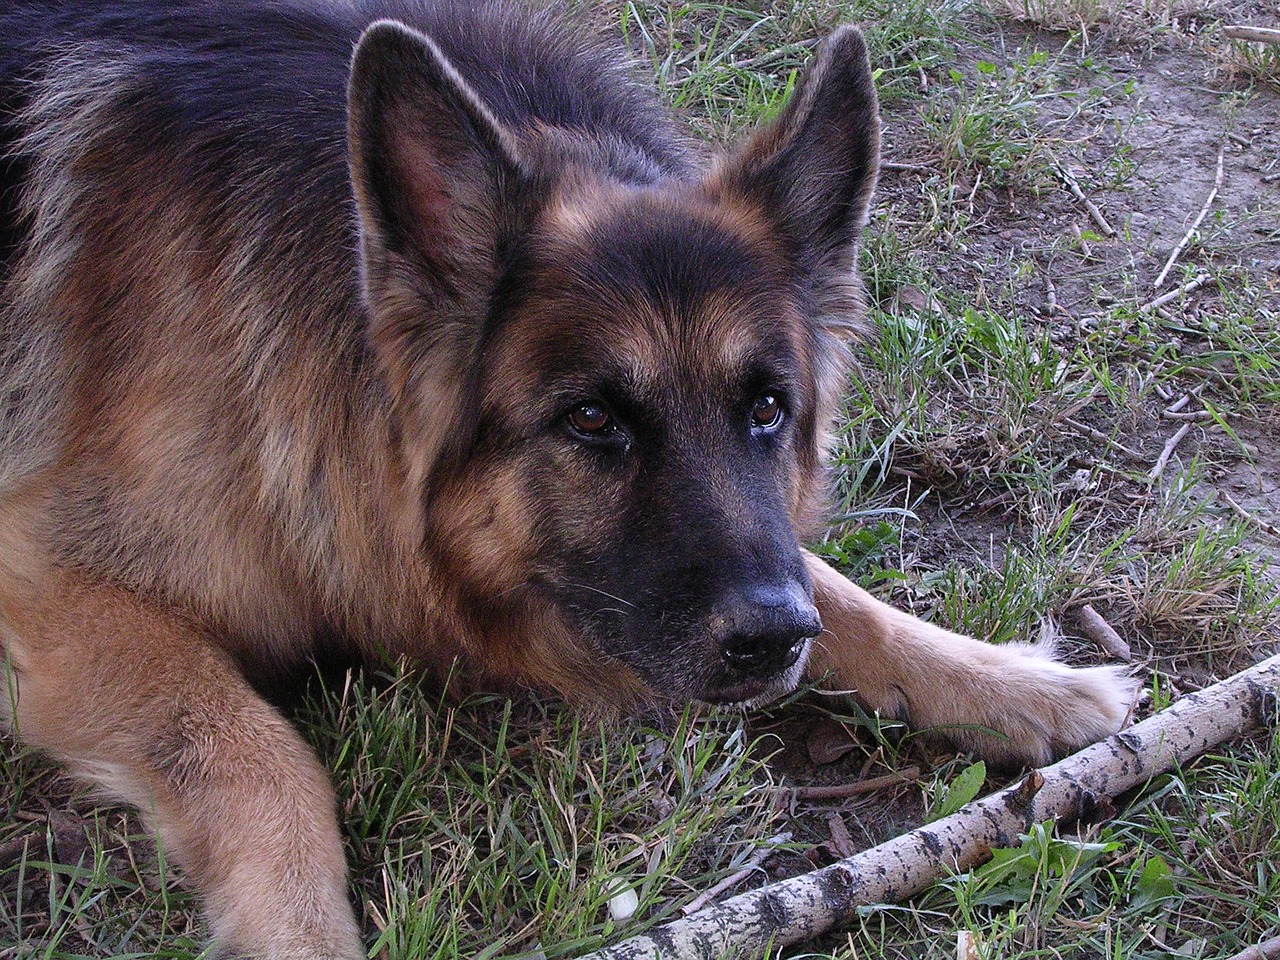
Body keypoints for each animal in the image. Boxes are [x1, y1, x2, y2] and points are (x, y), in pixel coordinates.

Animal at [0, 3, 1136, 957]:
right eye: (592, 421)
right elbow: (262, 759)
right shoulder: (55, 590)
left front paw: (1015, 683)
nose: (773, 640)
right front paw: (299, 934)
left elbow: (840, 591)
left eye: (767, 410)